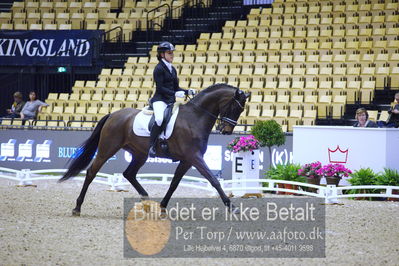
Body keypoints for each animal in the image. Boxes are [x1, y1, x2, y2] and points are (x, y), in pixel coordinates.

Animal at [59, 84, 250, 215]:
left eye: (241, 111)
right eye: (234, 107)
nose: (226, 131)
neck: (194, 118)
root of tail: (113, 114)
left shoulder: (187, 160)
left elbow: (174, 184)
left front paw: (162, 207)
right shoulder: (194, 157)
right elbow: (213, 180)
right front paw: (232, 207)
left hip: (139, 154)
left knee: (129, 173)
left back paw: (146, 200)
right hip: (108, 148)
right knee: (92, 172)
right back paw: (77, 207)